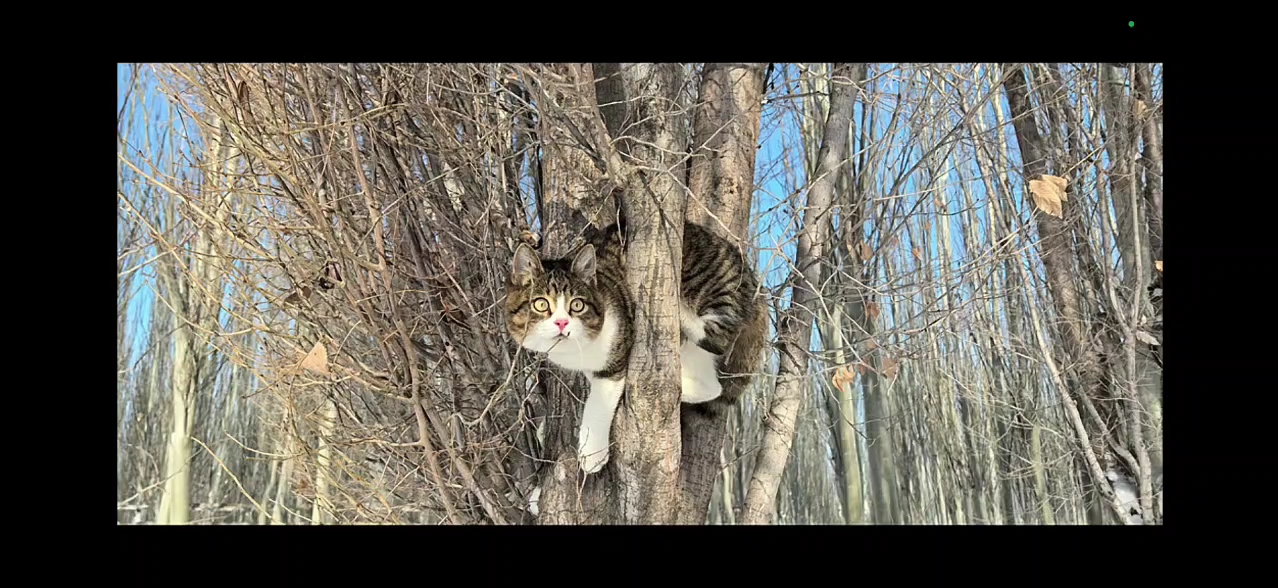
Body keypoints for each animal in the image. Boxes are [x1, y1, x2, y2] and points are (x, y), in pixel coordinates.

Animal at [506, 219, 766, 472]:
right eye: (541, 304)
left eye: (577, 305)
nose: (561, 322)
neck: (578, 350)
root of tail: (752, 278)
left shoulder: (615, 351)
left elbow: (600, 398)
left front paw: (592, 453)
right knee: (712, 386)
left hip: (712, 285)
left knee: (718, 341)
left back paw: (681, 315)